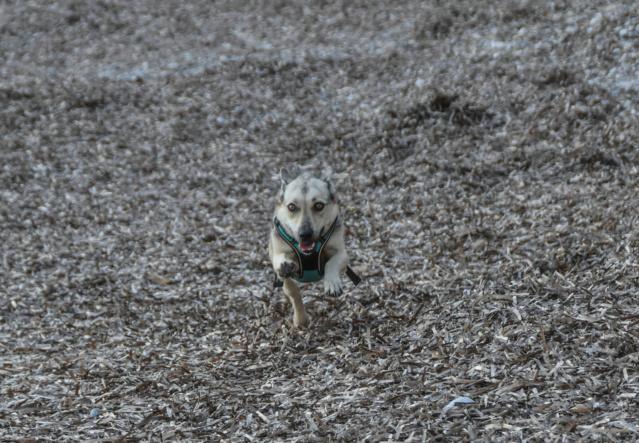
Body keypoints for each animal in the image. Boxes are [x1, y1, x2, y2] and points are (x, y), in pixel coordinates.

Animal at [268, 168, 360, 328]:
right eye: (291, 207)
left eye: (318, 206)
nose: (305, 234)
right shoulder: (278, 254)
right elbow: (290, 285)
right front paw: (300, 320)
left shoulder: (341, 253)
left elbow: (332, 262)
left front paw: (332, 283)